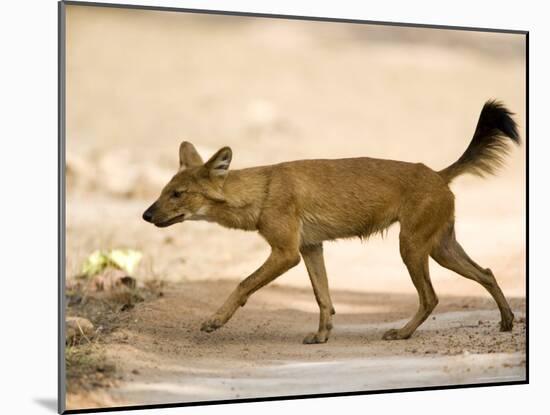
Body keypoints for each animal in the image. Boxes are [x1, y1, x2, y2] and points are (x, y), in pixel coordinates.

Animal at [142, 101, 520, 344]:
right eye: (162, 192)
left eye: (177, 194)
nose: (145, 215)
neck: (260, 191)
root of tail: (438, 174)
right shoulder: (311, 247)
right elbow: (322, 295)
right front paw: (322, 335)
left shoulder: (286, 252)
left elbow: (243, 284)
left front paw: (214, 321)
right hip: (441, 247)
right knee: (486, 272)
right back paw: (507, 322)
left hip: (411, 246)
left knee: (431, 297)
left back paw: (401, 333)